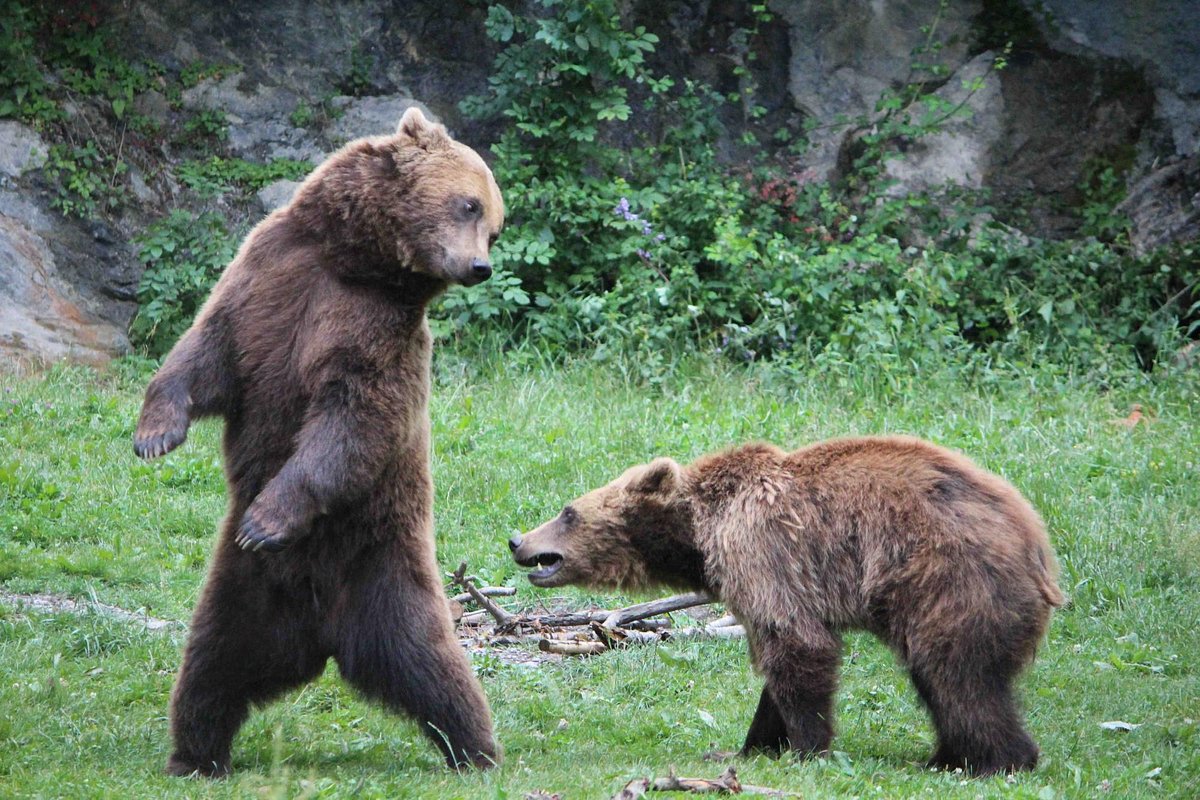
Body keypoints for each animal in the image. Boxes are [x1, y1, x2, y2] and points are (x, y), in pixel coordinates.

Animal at [135, 106, 501, 777]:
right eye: (470, 205)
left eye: (494, 223)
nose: (479, 266)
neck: (351, 262)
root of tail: (324, 635)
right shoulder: (268, 278)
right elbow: (206, 351)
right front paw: (155, 434)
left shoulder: (377, 329)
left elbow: (353, 419)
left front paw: (266, 518)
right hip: (244, 593)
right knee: (210, 669)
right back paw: (194, 754)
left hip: (382, 564)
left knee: (433, 666)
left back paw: (476, 748)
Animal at [511, 438, 1065, 777]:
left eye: (567, 512)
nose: (518, 540)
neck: (697, 535)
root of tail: (1036, 541)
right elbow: (776, 668)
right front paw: (750, 745)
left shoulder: (762, 551)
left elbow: (797, 646)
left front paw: (805, 748)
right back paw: (948, 756)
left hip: (948, 580)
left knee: (956, 677)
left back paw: (995, 759)